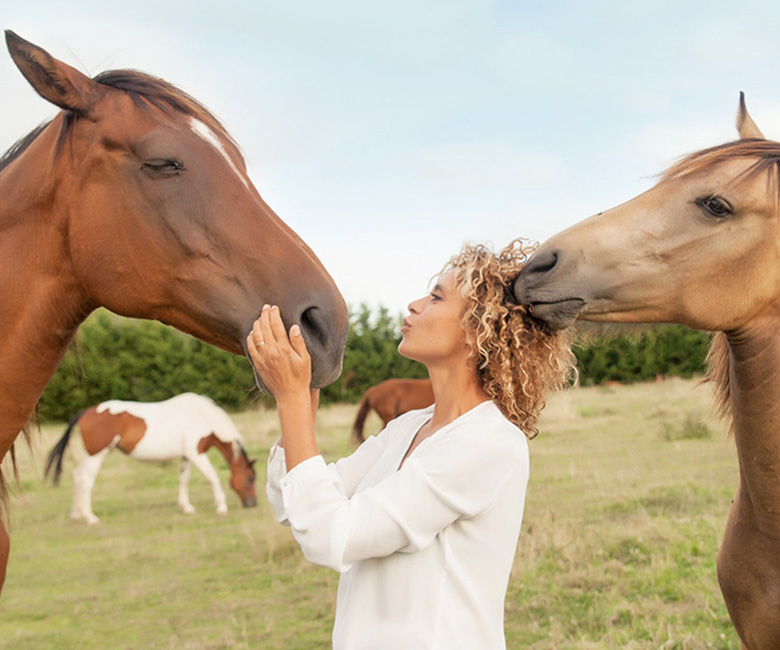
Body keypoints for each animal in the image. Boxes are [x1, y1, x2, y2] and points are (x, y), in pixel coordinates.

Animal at [45, 390, 258, 520]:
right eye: (250, 478)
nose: (252, 504)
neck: (204, 417)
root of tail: (86, 412)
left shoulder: (187, 457)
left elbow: (184, 480)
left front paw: (186, 507)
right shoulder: (196, 455)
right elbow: (213, 477)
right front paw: (221, 507)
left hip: (90, 455)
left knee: (77, 476)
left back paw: (76, 514)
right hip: (97, 455)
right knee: (86, 479)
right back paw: (90, 517)